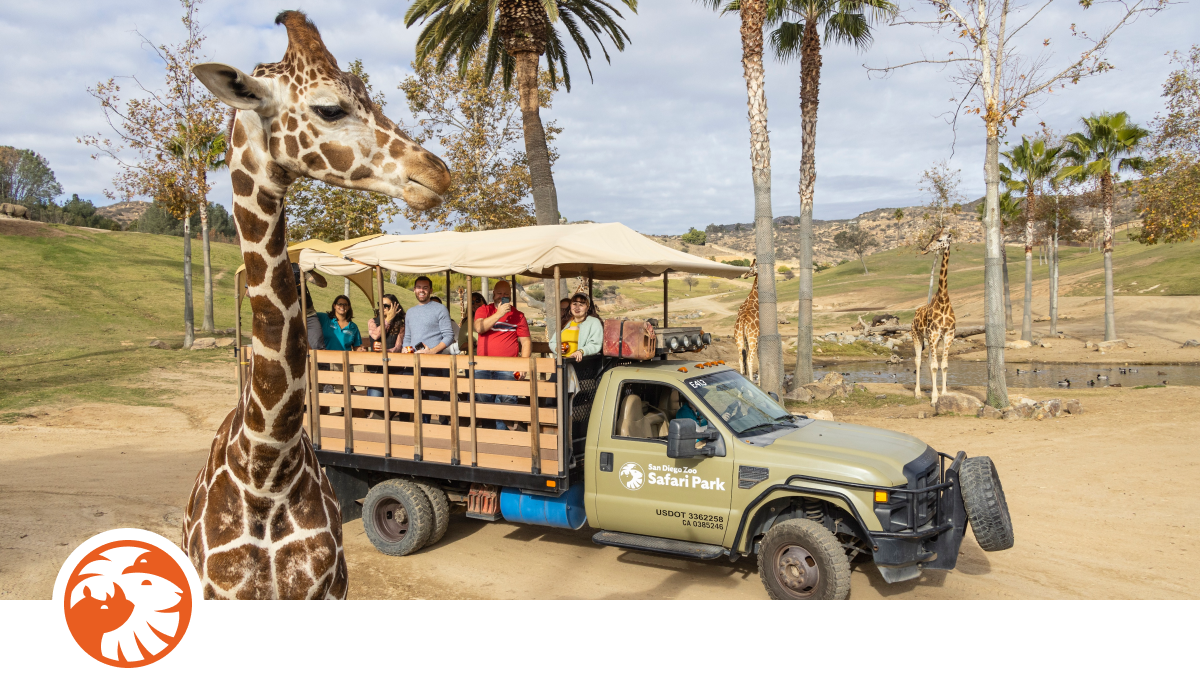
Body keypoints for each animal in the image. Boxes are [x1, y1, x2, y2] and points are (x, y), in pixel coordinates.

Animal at [911, 229, 956, 405]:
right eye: (932, 237)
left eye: (939, 240)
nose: (925, 249)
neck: (944, 301)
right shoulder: (933, 334)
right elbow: (935, 366)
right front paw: (935, 398)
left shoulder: (948, 334)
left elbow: (943, 365)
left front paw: (943, 394)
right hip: (917, 335)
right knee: (918, 360)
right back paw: (917, 393)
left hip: (933, 340)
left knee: (930, 362)